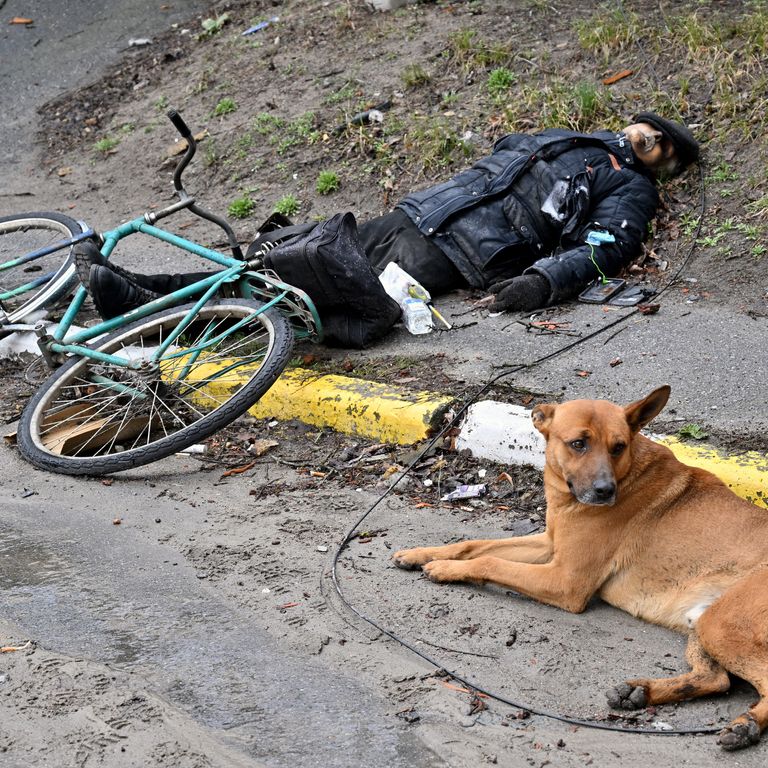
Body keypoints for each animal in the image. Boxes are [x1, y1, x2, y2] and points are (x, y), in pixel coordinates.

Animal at [396, 384, 768, 752]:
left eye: (618, 447)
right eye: (578, 443)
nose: (605, 491)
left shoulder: (565, 580)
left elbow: (490, 560)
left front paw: (443, 568)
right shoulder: (549, 546)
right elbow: (474, 545)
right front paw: (421, 554)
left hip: (722, 624)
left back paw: (747, 725)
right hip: (702, 623)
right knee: (716, 679)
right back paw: (640, 691)